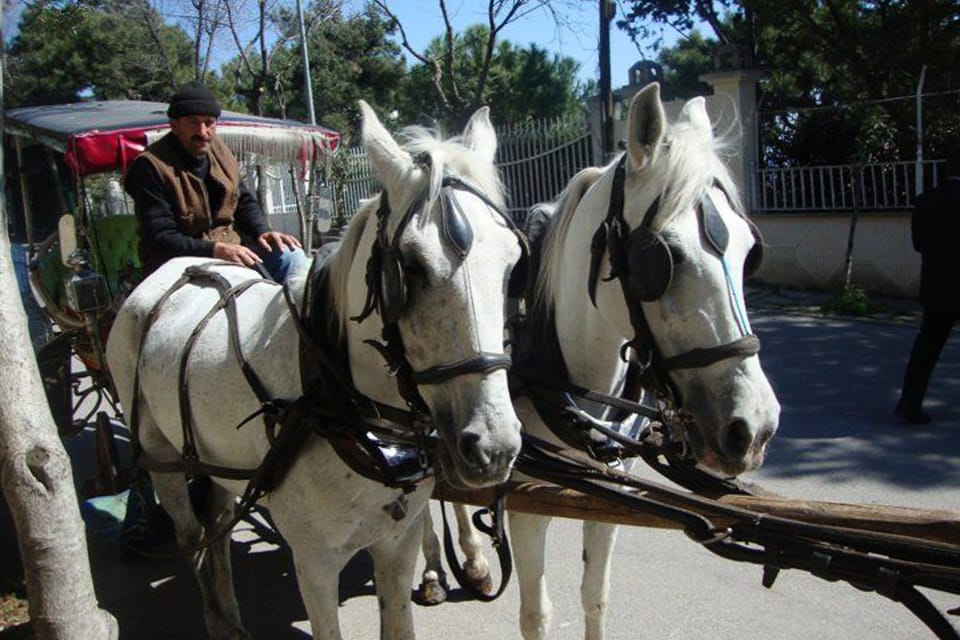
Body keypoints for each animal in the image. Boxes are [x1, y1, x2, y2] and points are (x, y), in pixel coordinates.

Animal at [106, 101, 524, 640]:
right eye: (409, 266)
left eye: (512, 265)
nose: (494, 448)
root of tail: (166, 273)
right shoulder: (314, 563)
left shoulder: (398, 542)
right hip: (162, 458)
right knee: (191, 534)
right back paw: (216, 616)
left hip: (211, 455)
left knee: (217, 522)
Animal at [420, 81, 780, 640]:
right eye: (661, 259)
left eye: (750, 253)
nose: (755, 428)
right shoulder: (527, 500)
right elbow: (537, 613)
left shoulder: (606, 494)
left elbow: (596, 595)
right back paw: (437, 571)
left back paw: (474, 563)